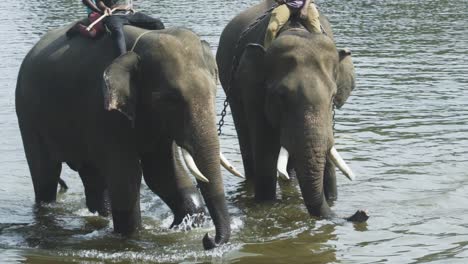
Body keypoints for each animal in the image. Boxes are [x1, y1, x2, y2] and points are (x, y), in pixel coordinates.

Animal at [16, 23, 236, 249]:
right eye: (169, 99)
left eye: (213, 91)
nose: (209, 240)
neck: (138, 47)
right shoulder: (103, 109)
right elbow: (128, 176)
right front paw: (133, 236)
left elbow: (162, 173)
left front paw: (182, 226)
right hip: (27, 115)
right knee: (45, 174)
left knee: (93, 176)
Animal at [217, 0, 370, 223]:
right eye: (281, 96)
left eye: (333, 96)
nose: (362, 212)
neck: (297, 30)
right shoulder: (254, 91)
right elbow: (265, 149)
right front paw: (266, 205)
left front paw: (332, 198)